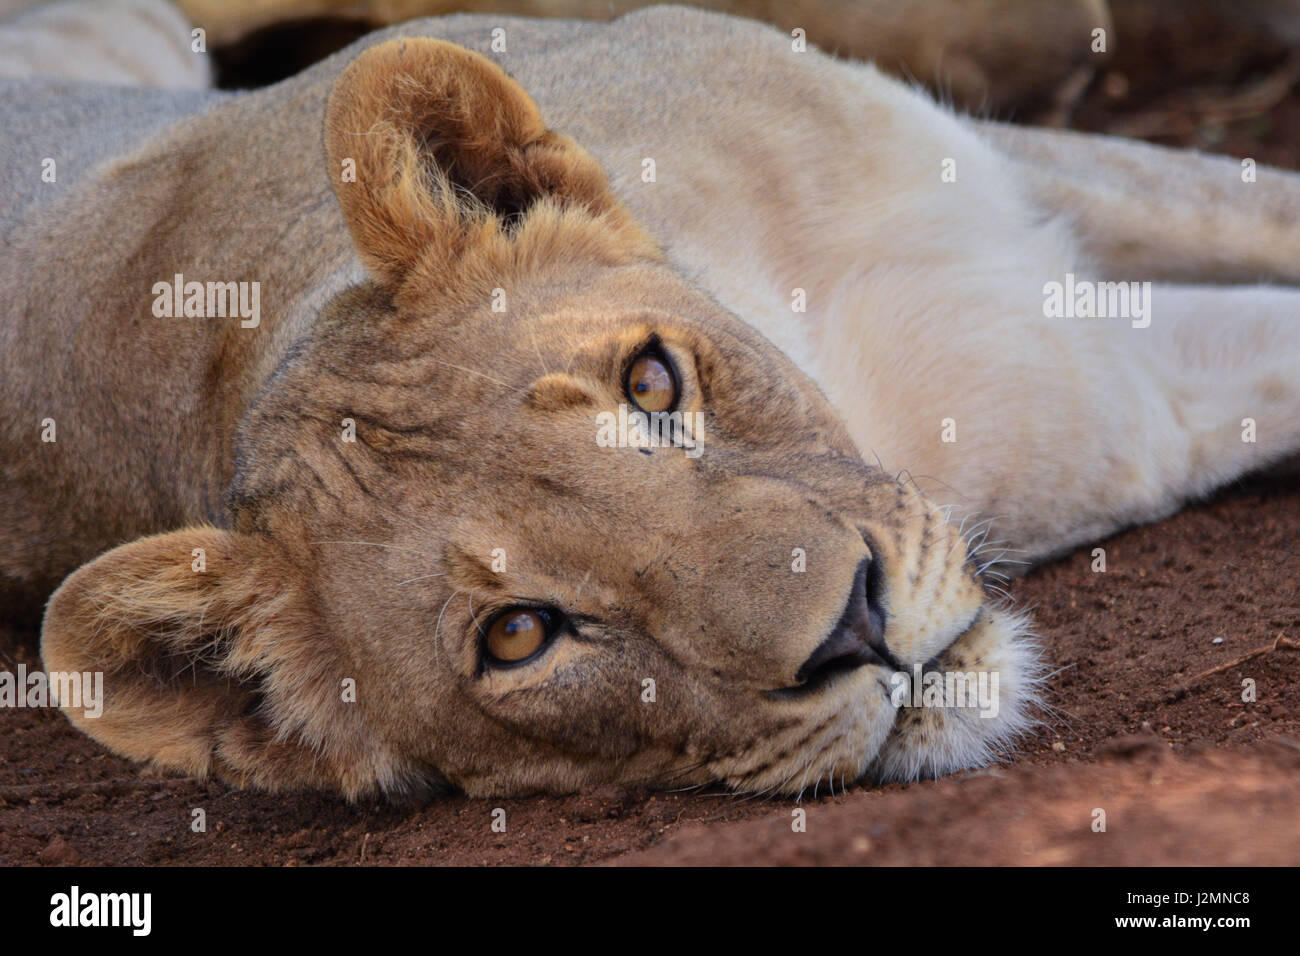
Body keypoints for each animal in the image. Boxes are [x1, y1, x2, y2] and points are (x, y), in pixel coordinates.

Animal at [3, 3, 1298, 798]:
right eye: (518, 633)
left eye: (651, 380)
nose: (853, 627)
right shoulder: (1132, 393)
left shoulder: (1022, 175)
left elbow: (1258, 202)